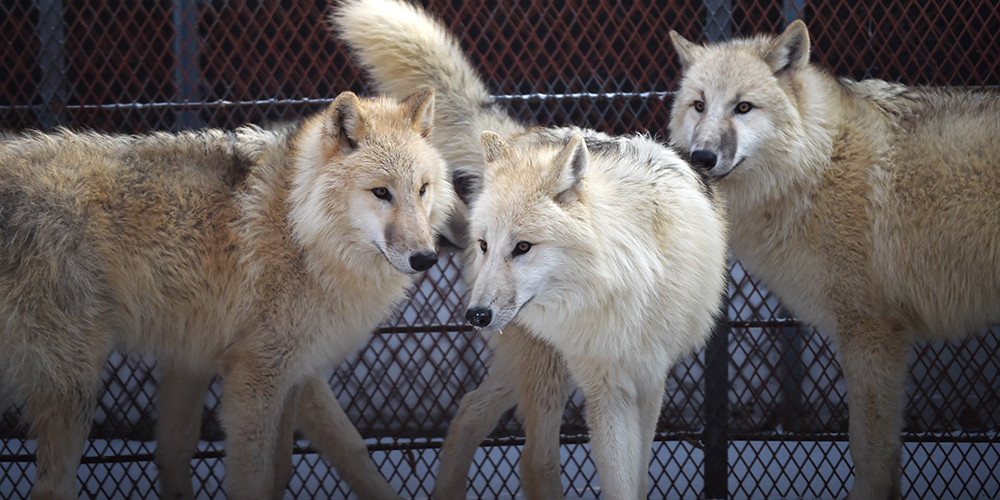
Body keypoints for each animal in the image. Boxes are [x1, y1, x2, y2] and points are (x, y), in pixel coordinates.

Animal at [0, 90, 454, 500]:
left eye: (422, 189)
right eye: (381, 192)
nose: (425, 258)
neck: (300, 229)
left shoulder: (257, 367)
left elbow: (337, 452)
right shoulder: (254, 378)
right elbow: (255, 481)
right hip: (75, 385)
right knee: (50, 490)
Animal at [332, 0, 732, 500]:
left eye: (523, 247)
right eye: (486, 245)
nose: (475, 315)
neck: (625, 277)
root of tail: (530, 135)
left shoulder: (648, 379)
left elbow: (636, 480)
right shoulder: (606, 389)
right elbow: (616, 480)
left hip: (525, 368)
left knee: (469, 410)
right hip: (545, 368)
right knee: (534, 461)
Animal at [668, 19, 1000, 500]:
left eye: (743, 107)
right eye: (699, 105)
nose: (702, 158)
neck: (819, 164)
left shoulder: (871, 334)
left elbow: (869, 451)